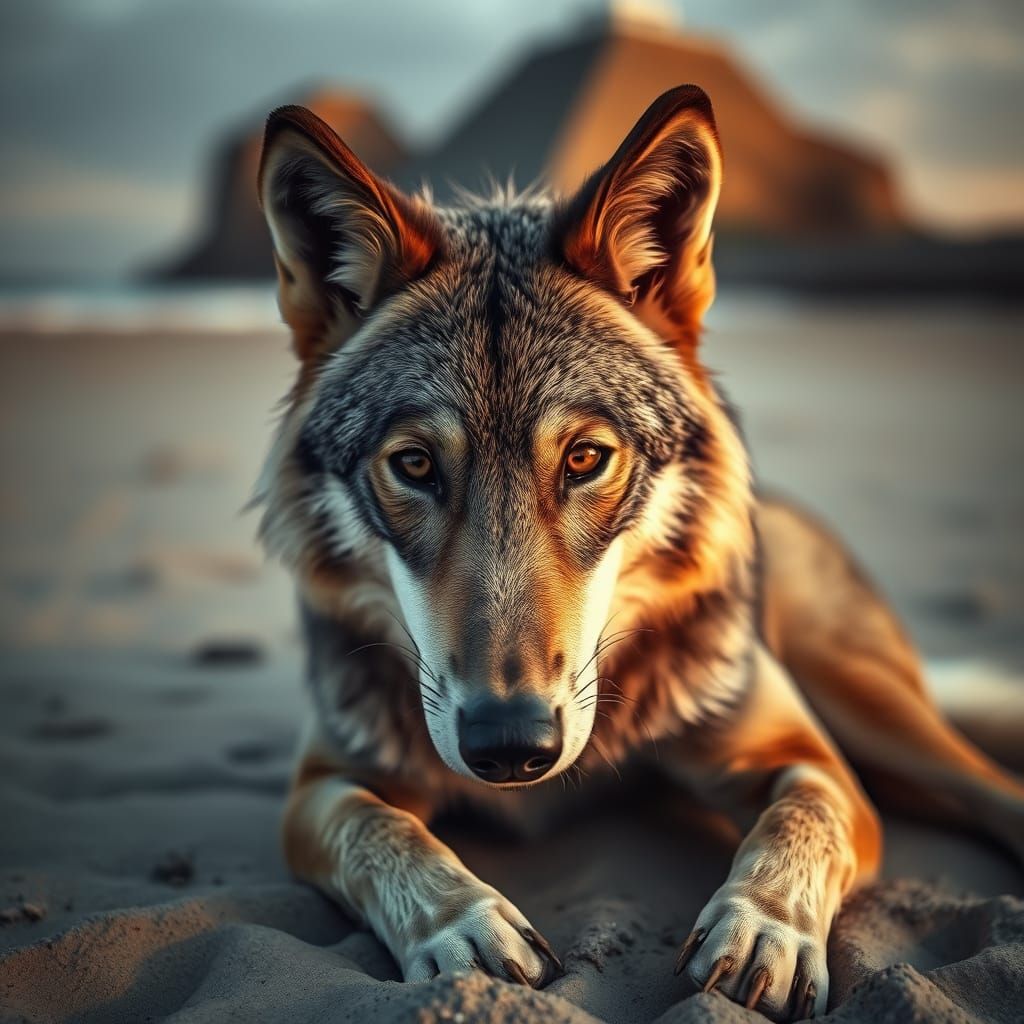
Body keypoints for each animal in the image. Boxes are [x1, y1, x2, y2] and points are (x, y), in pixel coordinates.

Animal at [253, 86, 1024, 1019]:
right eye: (415, 466)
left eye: (586, 459)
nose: (510, 745)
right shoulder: (320, 786)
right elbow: (382, 829)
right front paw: (460, 926)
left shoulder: (812, 761)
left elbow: (801, 820)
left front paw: (763, 927)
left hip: (864, 699)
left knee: (997, 790)